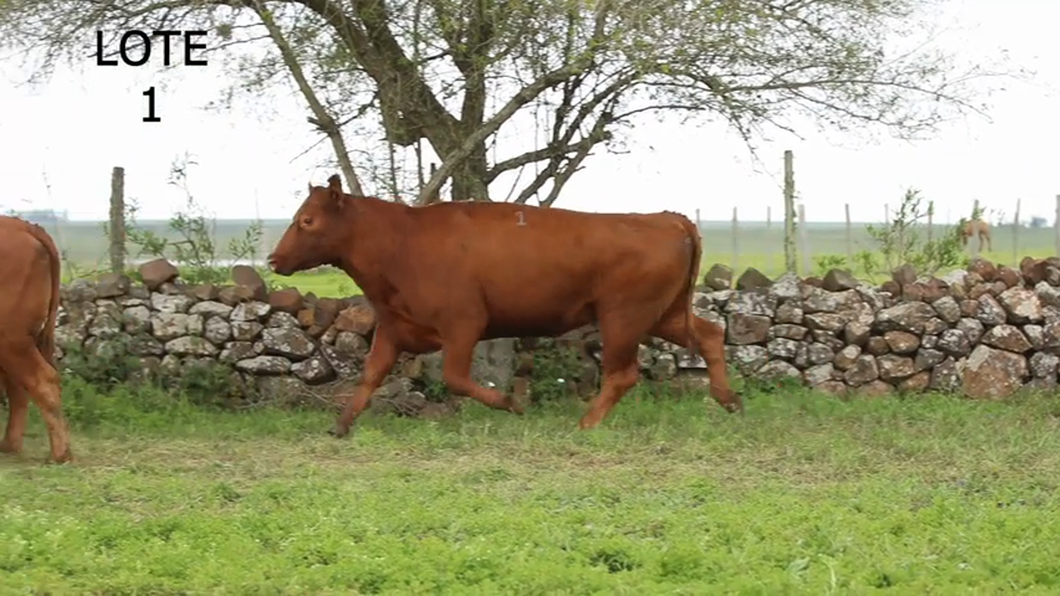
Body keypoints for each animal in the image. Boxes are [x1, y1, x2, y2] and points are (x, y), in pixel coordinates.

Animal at [269, 173, 741, 434]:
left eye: (307, 220)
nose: (273, 259)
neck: (401, 241)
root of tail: (666, 218)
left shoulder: (463, 323)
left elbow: (457, 379)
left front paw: (512, 404)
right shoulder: (394, 326)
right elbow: (369, 376)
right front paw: (341, 425)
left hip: (623, 317)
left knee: (623, 375)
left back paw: (586, 424)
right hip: (663, 315)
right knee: (711, 334)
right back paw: (729, 400)